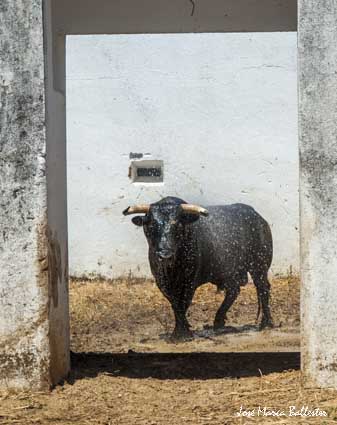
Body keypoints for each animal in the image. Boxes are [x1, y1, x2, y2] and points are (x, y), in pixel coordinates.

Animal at [123, 197, 272, 340]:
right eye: (152, 225)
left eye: (178, 225)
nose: (165, 255)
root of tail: (257, 216)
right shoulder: (162, 282)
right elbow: (175, 303)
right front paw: (179, 332)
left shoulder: (190, 280)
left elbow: (183, 302)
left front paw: (183, 333)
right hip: (230, 273)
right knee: (233, 291)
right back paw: (218, 322)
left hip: (259, 266)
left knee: (262, 288)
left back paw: (266, 323)